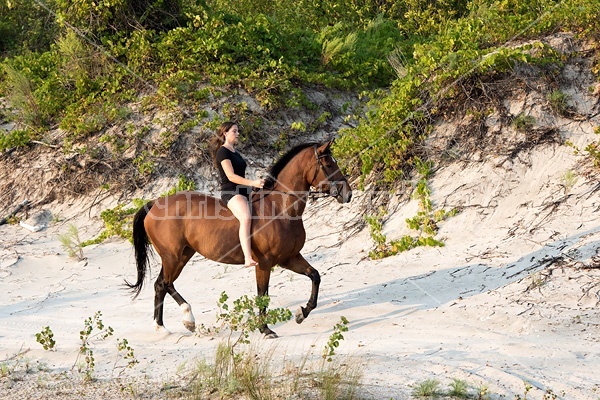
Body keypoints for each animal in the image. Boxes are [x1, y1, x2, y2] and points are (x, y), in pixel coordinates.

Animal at [126, 141, 352, 338]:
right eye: (329, 164)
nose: (348, 194)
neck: (280, 209)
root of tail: (154, 204)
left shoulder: (289, 258)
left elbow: (315, 276)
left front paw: (302, 313)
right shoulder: (265, 263)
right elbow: (262, 296)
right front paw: (265, 330)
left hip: (182, 255)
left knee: (162, 284)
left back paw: (169, 326)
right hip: (172, 256)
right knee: (164, 284)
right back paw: (181, 321)